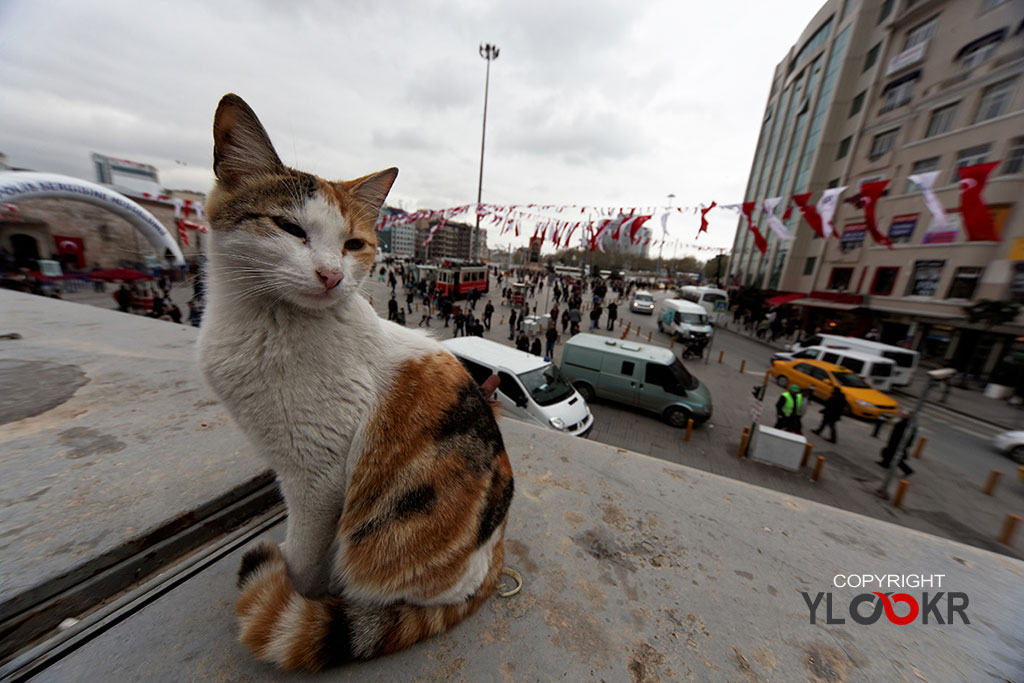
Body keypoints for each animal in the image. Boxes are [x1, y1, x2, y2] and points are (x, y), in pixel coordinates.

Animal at [196, 93, 516, 671]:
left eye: (353, 244)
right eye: (289, 228)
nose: (330, 275)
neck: (269, 326)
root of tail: (493, 558)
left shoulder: (318, 475)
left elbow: (303, 552)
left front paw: (293, 585)